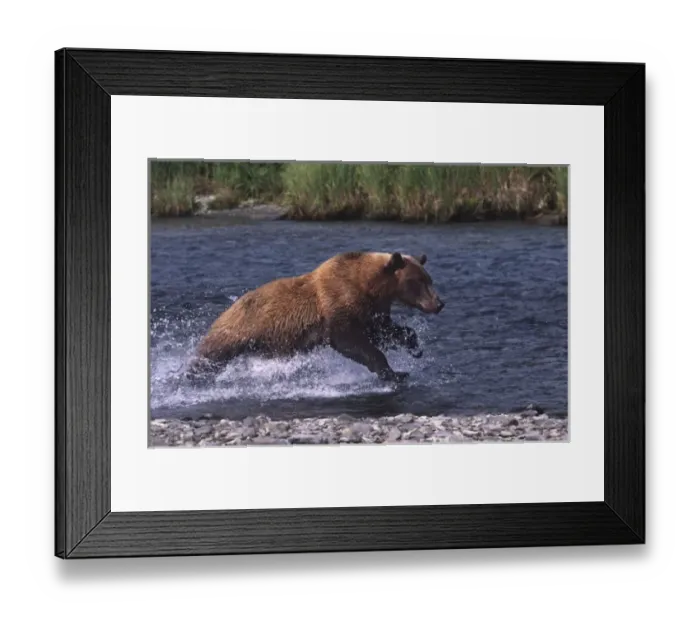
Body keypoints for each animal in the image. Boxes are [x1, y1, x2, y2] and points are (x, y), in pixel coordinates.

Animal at [185, 251, 444, 384]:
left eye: (429, 279)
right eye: (418, 281)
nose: (440, 304)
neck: (370, 285)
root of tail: (224, 310)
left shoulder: (371, 310)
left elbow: (384, 331)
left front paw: (414, 347)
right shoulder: (338, 303)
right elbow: (351, 341)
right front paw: (393, 373)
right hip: (236, 331)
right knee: (211, 355)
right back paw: (194, 374)